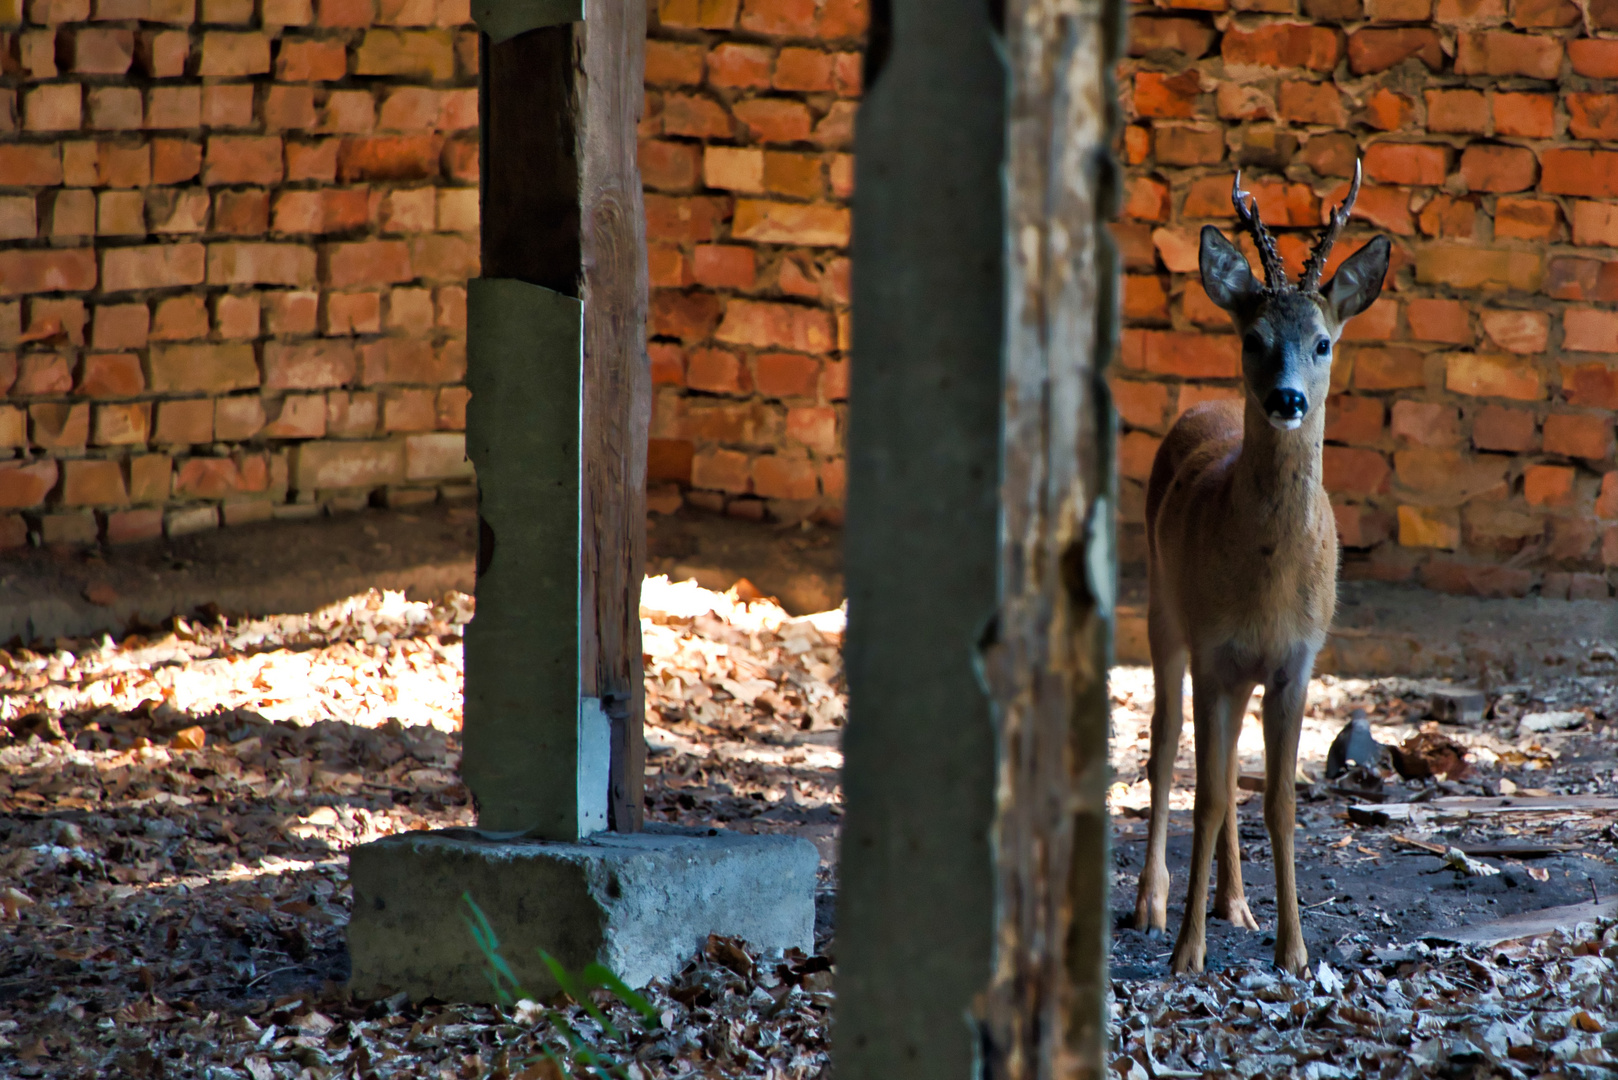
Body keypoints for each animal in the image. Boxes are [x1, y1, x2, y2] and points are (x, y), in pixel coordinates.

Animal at [1126, 162, 1391, 977]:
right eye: (1253, 337)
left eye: (1324, 341)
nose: (1287, 398)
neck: (1266, 582)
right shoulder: (1212, 647)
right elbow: (1207, 795)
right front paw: (1187, 953)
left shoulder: (1296, 659)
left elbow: (1276, 799)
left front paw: (1295, 951)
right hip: (1162, 608)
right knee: (1166, 747)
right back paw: (1151, 905)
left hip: (1237, 667)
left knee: (1229, 765)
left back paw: (1235, 904)